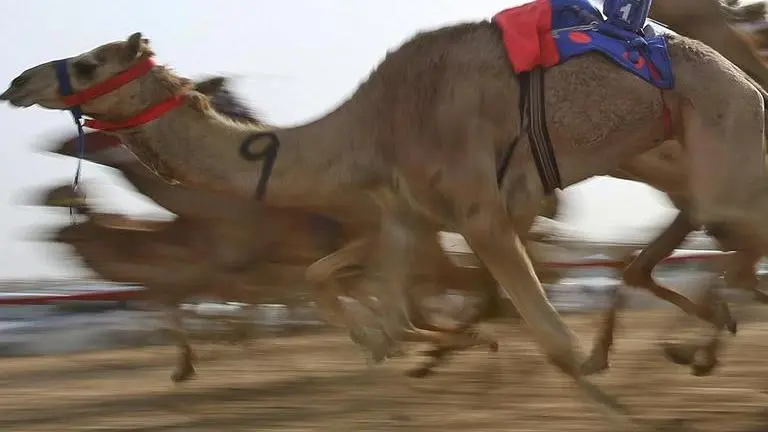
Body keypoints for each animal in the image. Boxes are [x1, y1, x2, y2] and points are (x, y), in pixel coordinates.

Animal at [5, 12, 768, 425]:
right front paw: (396, 346)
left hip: (722, 147)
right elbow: (375, 314)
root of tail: (750, 83)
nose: (18, 82)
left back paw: (697, 342)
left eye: (89, 61)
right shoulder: (405, 216)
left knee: (722, 237)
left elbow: (557, 343)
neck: (369, 127)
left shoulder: (480, 208)